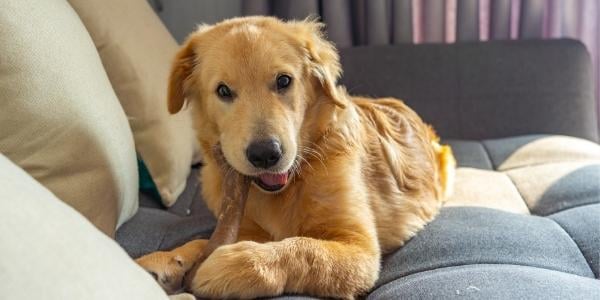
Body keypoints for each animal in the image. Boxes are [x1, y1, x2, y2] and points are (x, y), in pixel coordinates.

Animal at [136, 15, 454, 298]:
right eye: (223, 91)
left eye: (283, 81)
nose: (265, 154)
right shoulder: (245, 225)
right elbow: (200, 242)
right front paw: (163, 260)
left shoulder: (360, 246)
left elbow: (304, 249)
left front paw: (233, 264)